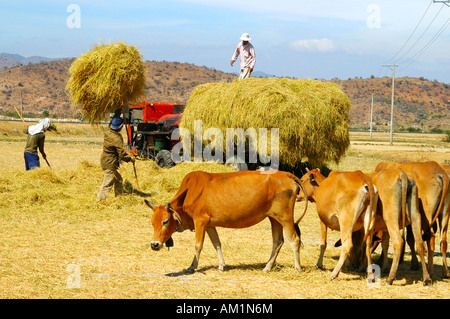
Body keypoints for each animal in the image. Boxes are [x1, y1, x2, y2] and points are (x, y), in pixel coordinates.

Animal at [144, 171, 306, 274]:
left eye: (165, 221)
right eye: (152, 223)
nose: (154, 244)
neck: (189, 191)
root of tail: (285, 174)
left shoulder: (200, 221)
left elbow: (198, 245)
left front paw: (192, 267)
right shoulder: (210, 225)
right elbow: (217, 244)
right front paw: (221, 266)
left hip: (285, 217)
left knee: (294, 240)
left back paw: (297, 268)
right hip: (274, 218)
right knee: (277, 241)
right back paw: (267, 267)